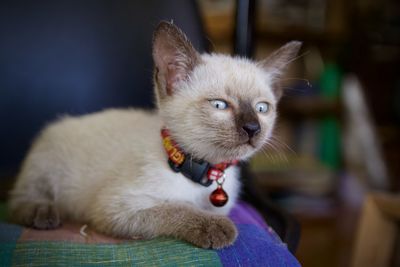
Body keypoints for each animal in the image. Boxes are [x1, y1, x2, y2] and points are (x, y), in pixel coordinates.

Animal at [7, 22, 300, 250]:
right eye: (220, 105)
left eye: (262, 109)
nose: (253, 128)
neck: (201, 171)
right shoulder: (117, 209)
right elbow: (173, 208)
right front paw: (217, 228)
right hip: (45, 167)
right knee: (20, 197)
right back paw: (42, 213)